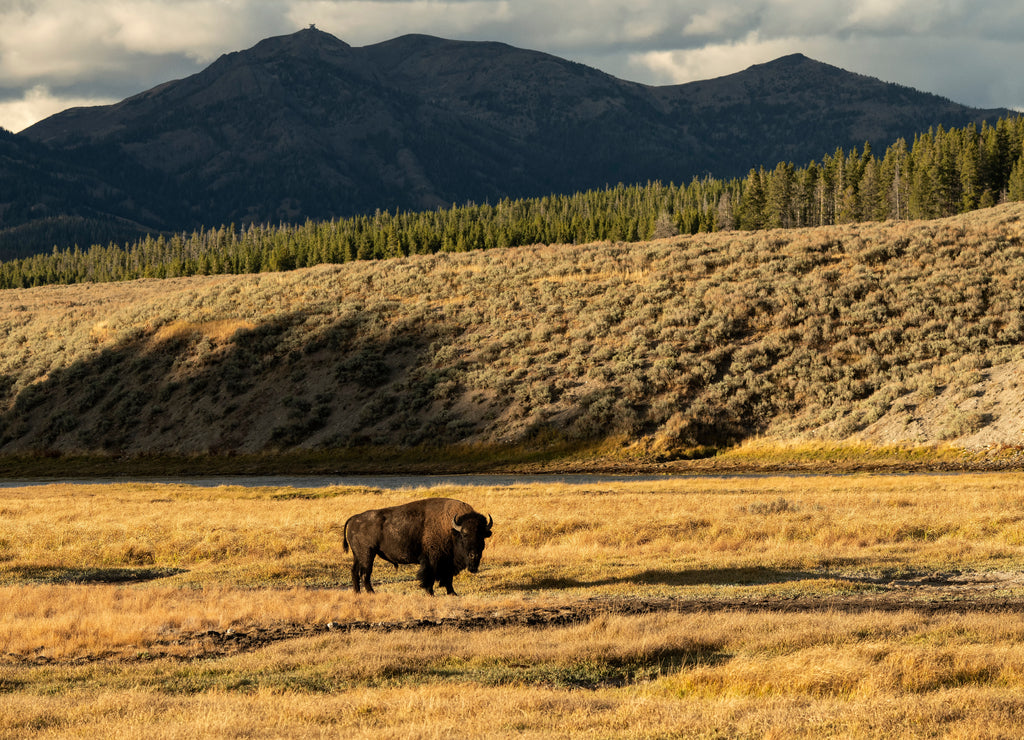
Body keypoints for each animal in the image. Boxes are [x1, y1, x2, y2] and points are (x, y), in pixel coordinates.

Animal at [342, 497, 493, 597]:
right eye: (464, 534)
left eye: (481, 535)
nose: (474, 555)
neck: (451, 529)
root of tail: (354, 518)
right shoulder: (433, 560)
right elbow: (429, 576)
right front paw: (430, 593)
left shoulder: (447, 563)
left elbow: (448, 578)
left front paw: (452, 593)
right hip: (368, 554)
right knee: (365, 573)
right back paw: (371, 593)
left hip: (358, 555)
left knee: (354, 571)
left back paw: (357, 593)